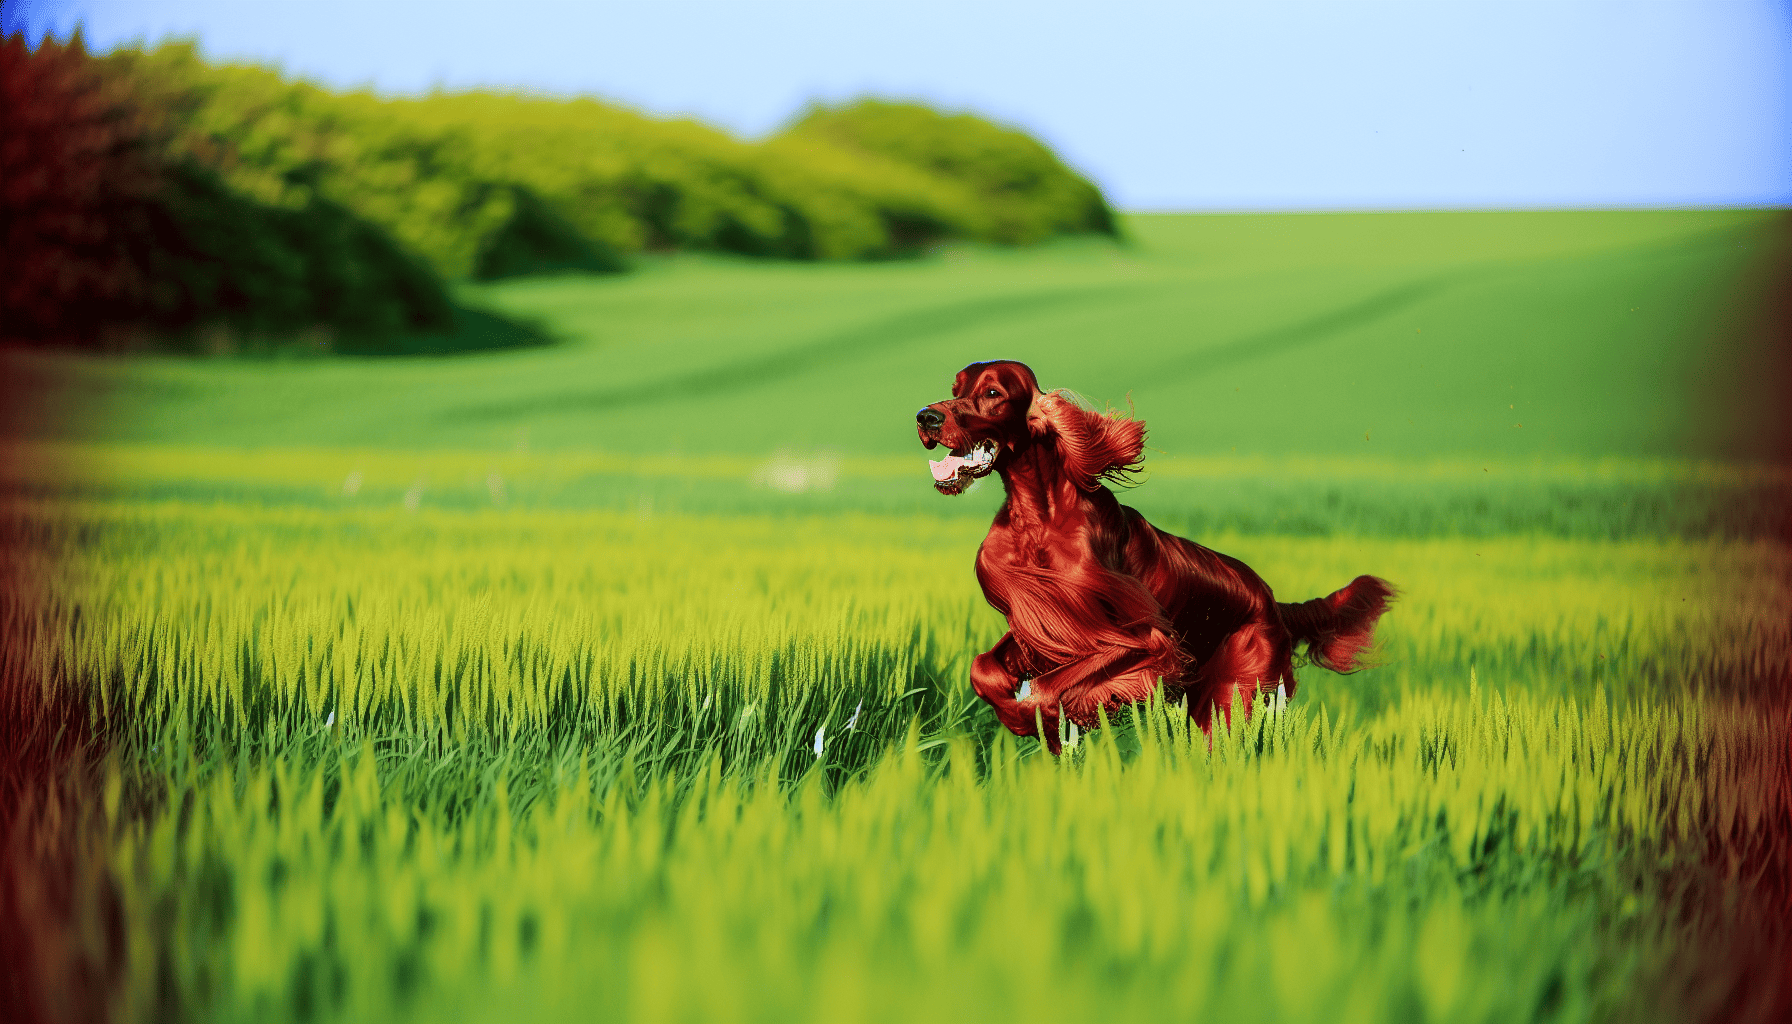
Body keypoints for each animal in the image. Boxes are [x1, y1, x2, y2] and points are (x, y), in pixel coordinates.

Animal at [917, 364, 1390, 749]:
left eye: (992, 392)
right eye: (955, 388)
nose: (927, 417)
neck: (1039, 518)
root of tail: (1275, 603)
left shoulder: (1145, 639)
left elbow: (1048, 687)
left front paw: (1039, 719)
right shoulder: (1040, 621)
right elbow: (983, 667)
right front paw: (1027, 719)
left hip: (1233, 695)